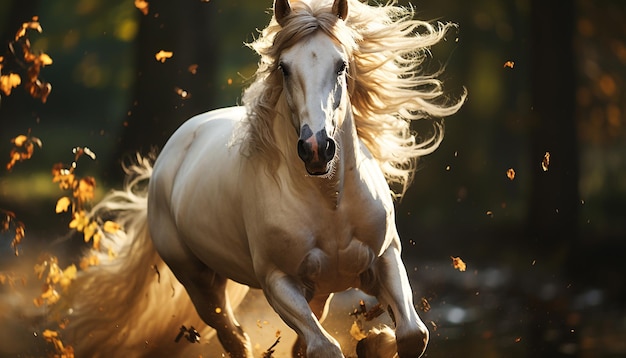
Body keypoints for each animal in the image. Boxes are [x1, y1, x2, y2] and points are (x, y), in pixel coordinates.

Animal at [58, 1, 464, 356]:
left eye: (341, 65)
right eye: (283, 67)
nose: (316, 148)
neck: (329, 202)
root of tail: (170, 155)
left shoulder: (384, 259)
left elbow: (412, 335)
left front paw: (374, 342)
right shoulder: (278, 282)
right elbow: (324, 349)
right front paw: (370, 343)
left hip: (319, 290)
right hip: (199, 282)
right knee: (235, 338)